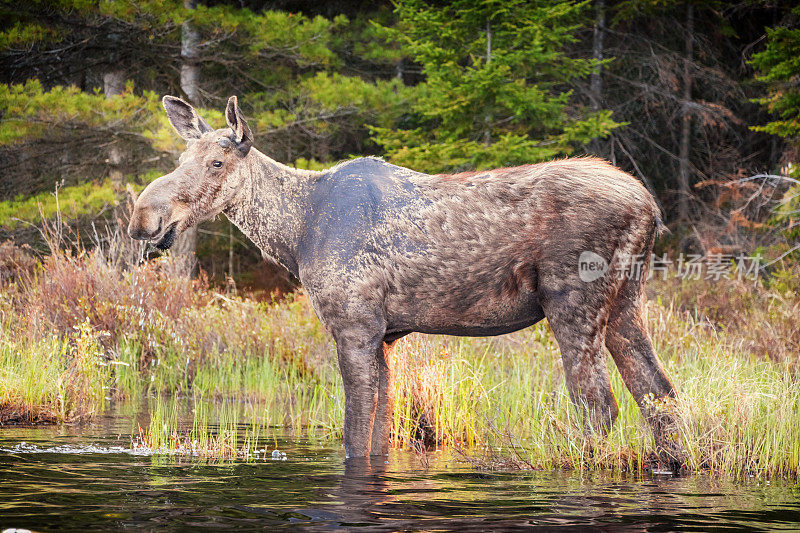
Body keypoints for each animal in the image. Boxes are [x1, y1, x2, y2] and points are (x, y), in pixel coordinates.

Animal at [128, 96, 680, 462]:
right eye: (181, 158)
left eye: (216, 161)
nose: (143, 218)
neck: (296, 234)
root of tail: (651, 208)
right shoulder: (386, 336)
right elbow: (379, 435)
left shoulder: (355, 326)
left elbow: (354, 434)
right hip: (625, 304)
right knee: (660, 393)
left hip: (573, 303)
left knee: (600, 406)